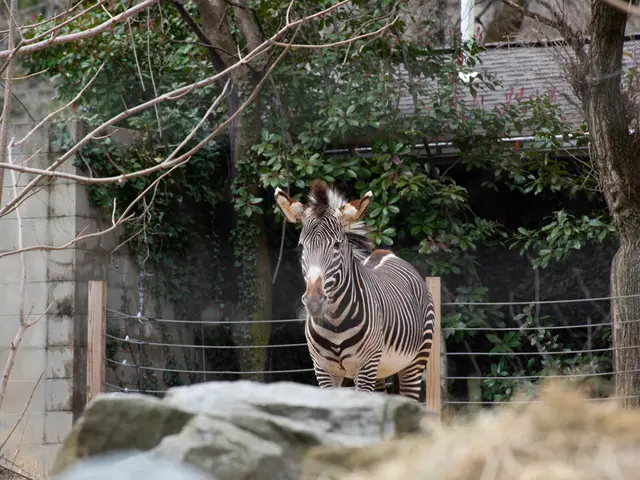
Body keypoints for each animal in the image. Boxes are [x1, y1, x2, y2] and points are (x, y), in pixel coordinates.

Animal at [274, 180, 435, 400]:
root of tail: (386, 253)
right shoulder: (323, 370)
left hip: (414, 363)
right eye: (302, 245)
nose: (314, 301)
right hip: (381, 370)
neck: (335, 323)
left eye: (337, 245)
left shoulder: (365, 367)